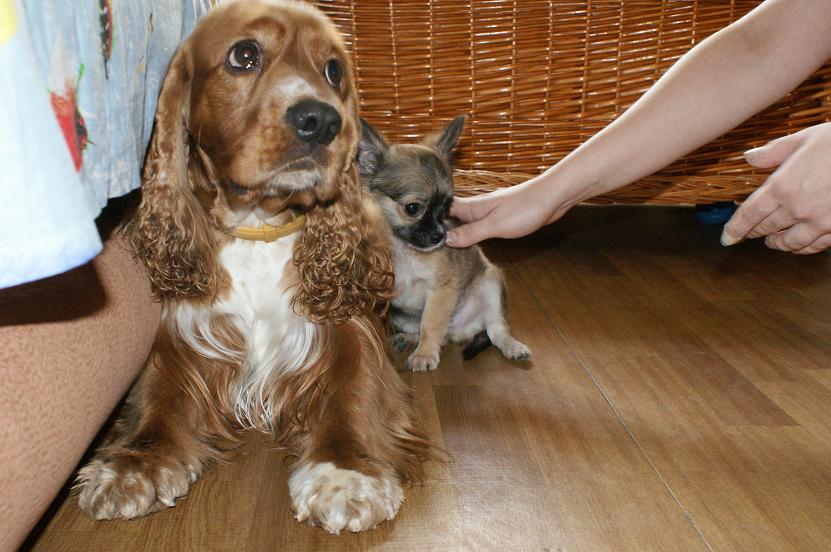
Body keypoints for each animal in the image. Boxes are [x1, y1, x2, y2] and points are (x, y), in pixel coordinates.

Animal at [74, 0, 429, 535]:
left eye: (333, 70)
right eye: (244, 55)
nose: (321, 120)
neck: (259, 225)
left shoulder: (349, 334)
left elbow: (352, 398)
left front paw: (344, 474)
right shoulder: (186, 334)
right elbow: (159, 399)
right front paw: (134, 465)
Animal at [357, 116, 532, 372]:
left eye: (446, 207)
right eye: (413, 208)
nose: (440, 236)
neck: (403, 249)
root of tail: (459, 331)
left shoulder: (441, 290)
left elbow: (430, 324)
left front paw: (425, 355)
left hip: (490, 286)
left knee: (496, 331)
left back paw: (513, 348)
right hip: (401, 316)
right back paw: (405, 339)